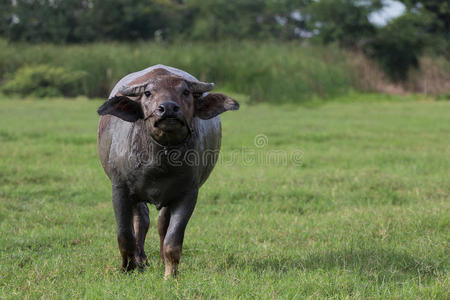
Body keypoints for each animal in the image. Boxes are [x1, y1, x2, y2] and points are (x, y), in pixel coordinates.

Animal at [96, 64, 237, 278]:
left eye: (185, 92)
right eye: (148, 93)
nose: (168, 108)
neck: (160, 161)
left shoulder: (188, 193)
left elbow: (173, 239)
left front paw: (170, 274)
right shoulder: (120, 188)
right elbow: (124, 234)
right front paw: (127, 268)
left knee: (162, 223)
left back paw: (159, 259)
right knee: (142, 219)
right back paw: (140, 260)